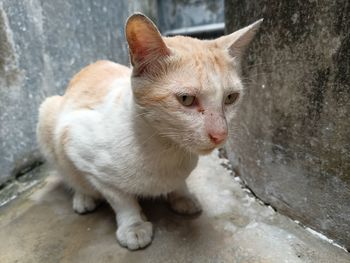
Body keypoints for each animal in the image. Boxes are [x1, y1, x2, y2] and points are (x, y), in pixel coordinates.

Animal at [36, 12, 262, 252]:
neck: (168, 149)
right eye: (186, 99)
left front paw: (182, 197)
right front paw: (133, 226)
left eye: (231, 98)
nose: (220, 134)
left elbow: (179, 183)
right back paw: (84, 198)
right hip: (47, 113)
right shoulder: (82, 152)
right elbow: (121, 201)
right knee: (68, 175)